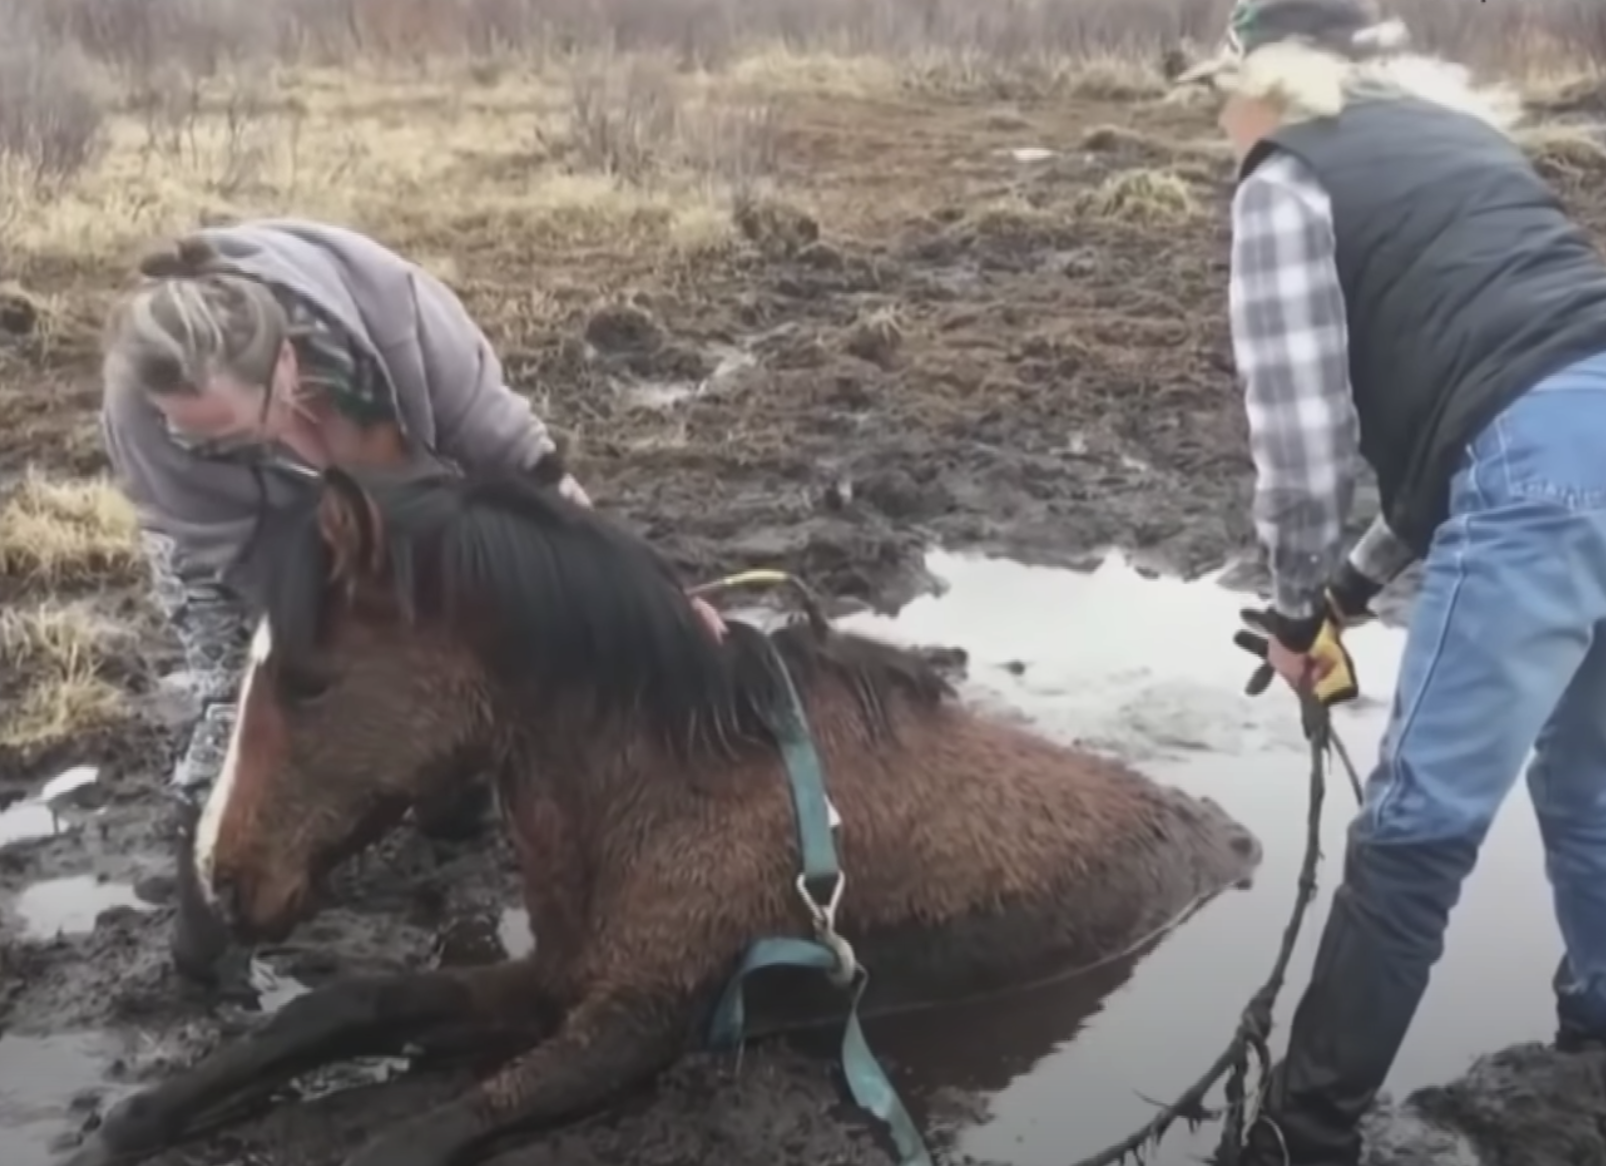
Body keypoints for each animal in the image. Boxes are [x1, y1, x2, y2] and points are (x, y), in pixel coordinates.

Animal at [65, 464, 1263, 1166]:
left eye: (311, 680)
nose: (226, 882)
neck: (662, 779)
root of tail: (1233, 837)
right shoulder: (555, 977)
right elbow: (345, 1006)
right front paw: (134, 1121)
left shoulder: (629, 1027)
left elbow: (422, 1131)